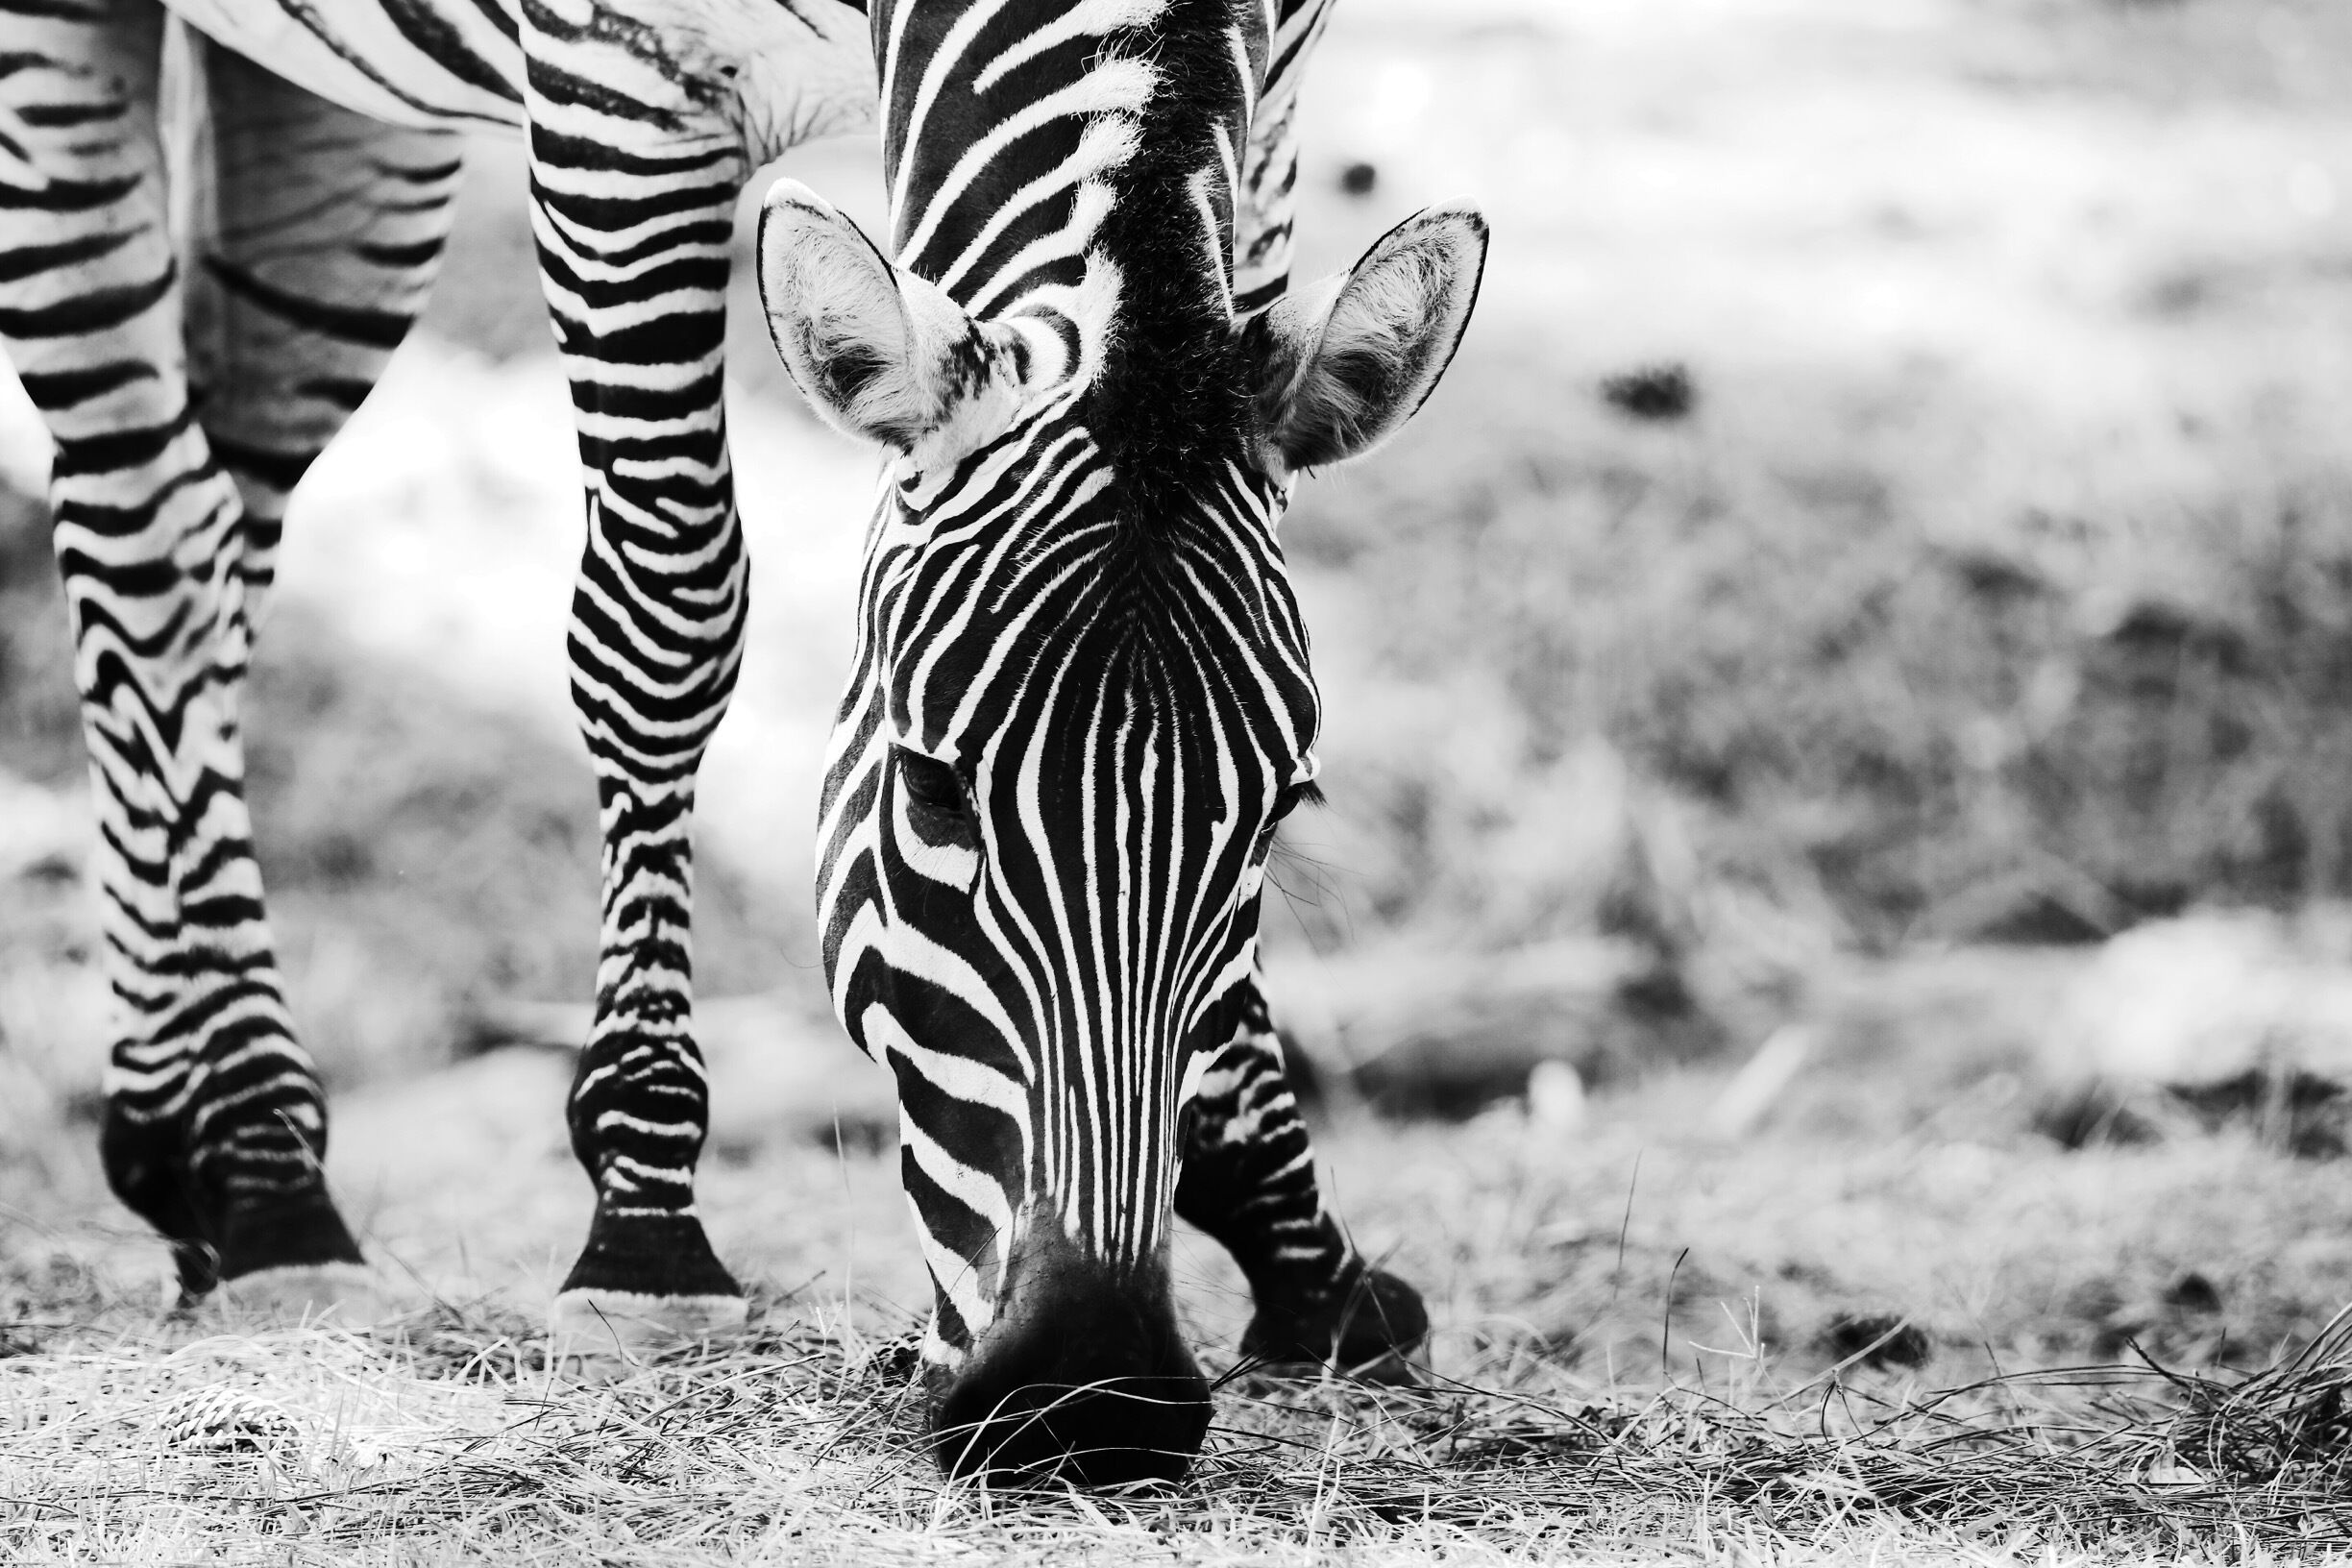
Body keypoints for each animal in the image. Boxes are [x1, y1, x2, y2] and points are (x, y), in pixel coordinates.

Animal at [0, 0, 1487, 1485]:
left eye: (1281, 811)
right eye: (930, 790)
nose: (1096, 1401)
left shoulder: (1276, 101)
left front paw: (1297, 1248)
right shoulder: (617, 88)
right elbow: (668, 608)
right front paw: (646, 1240)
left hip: (336, 116)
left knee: (213, 525)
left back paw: (180, 1144)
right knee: (143, 533)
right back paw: (266, 1177)